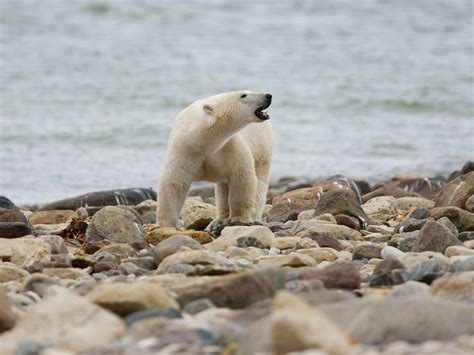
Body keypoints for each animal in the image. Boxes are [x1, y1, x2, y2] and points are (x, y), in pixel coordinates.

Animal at [156, 90, 274, 229]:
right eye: (243, 95)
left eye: (249, 91)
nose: (268, 95)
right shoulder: (184, 150)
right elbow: (174, 183)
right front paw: (166, 224)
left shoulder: (229, 147)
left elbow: (241, 177)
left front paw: (239, 218)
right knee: (223, 187)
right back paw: (219, 220)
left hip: (262, 147)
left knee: (260, 180)